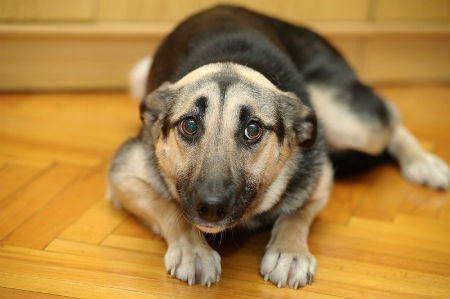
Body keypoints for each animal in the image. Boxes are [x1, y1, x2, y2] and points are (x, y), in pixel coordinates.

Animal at [107, 4, 448, 290]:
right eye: (189, 125)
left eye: (253, 130)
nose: (211, 206)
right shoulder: (123, 176)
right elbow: (169, 208)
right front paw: (193, 249)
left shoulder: (320, 180)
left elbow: (296, 212)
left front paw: (289, 251)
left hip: (356, 125)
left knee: (390, 117)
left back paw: (424, 163)